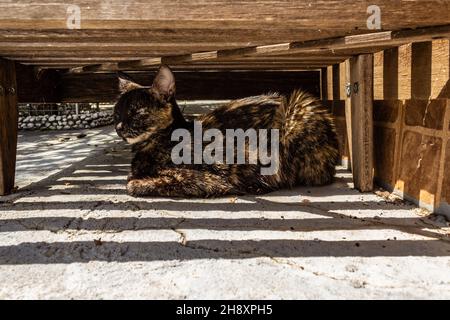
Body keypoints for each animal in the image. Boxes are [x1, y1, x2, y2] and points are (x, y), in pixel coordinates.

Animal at [113, 65, 338, 198]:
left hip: (297, 107)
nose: (119, 127)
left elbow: (133, 183)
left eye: (137, 112)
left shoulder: (205, 179)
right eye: (116, 113)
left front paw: (136, 181)